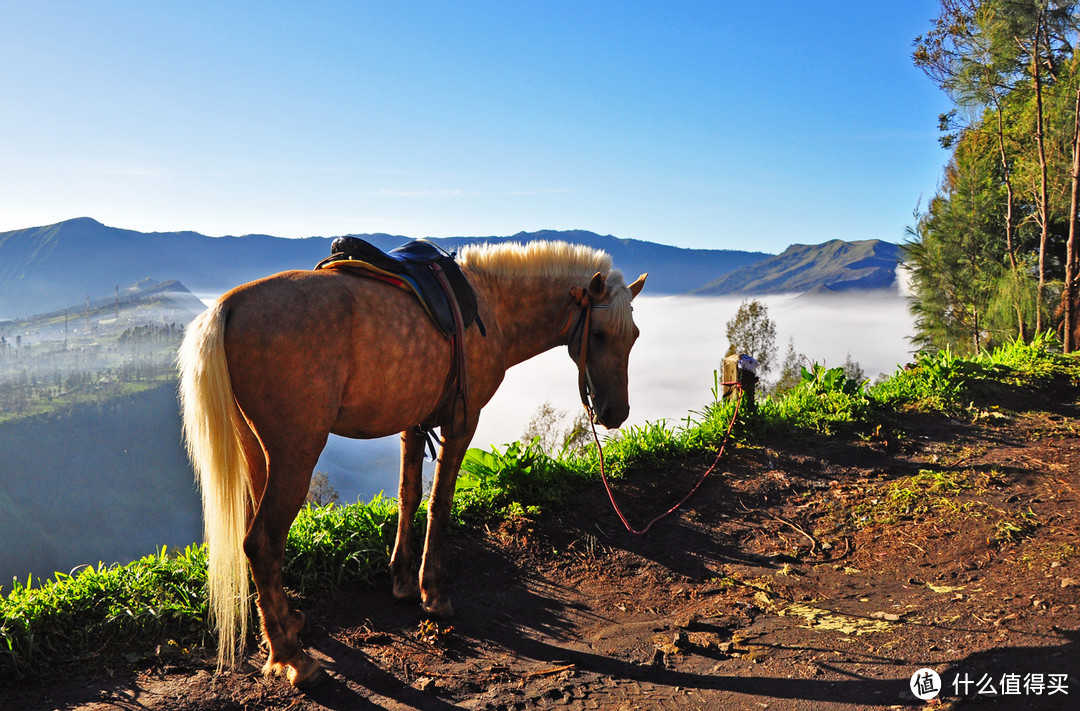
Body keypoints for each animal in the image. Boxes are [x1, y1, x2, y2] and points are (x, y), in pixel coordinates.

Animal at [178, 240, 643, 682]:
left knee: (258, 539)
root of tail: (229, 305)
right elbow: (440, 502)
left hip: (257, 451)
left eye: (635, 335)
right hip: (296, 453)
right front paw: (432, 593)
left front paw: (402, 580)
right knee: (262, 543)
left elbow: (409, 495)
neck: (491, 305)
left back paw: (287, 623)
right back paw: (293, 658)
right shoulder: (462, 421)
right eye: (600, 334)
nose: (616, 412)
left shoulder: (414, 423)